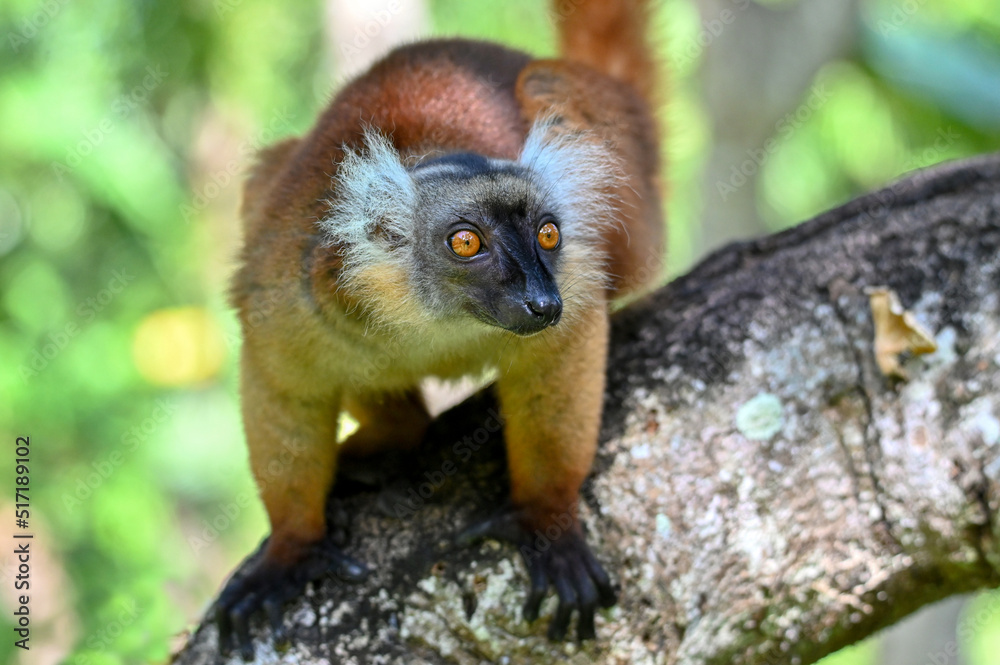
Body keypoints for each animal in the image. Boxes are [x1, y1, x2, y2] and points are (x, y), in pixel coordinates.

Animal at [216, 0, 663, 657]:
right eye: (466, 242)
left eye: (548, 234)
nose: (542, 301)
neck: (433, 322)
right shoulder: (289, 294)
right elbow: (283, 388)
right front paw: (292, 548)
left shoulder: (573, 278)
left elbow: (566, 354)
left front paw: (547, 520)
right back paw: (393, 434)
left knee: (546, 87)